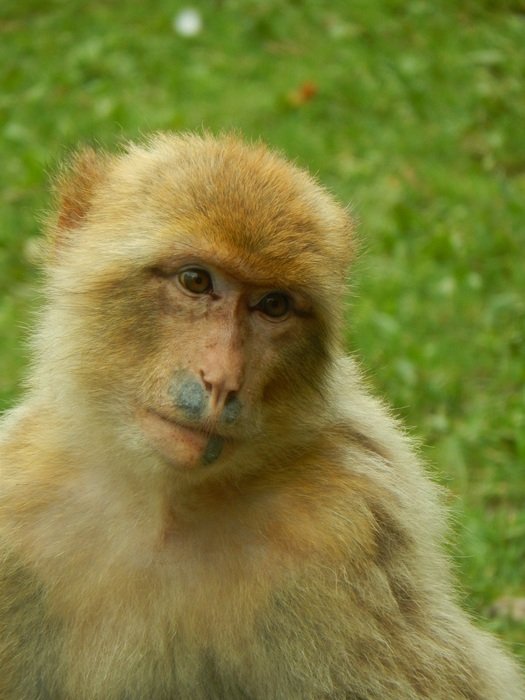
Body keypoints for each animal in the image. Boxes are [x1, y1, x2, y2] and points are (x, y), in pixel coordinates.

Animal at [0, 133, 520, 700]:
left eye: (273, 305)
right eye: (195, 280)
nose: (222, 380)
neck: (165, 505)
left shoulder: (348, 523)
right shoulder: (17, 505)